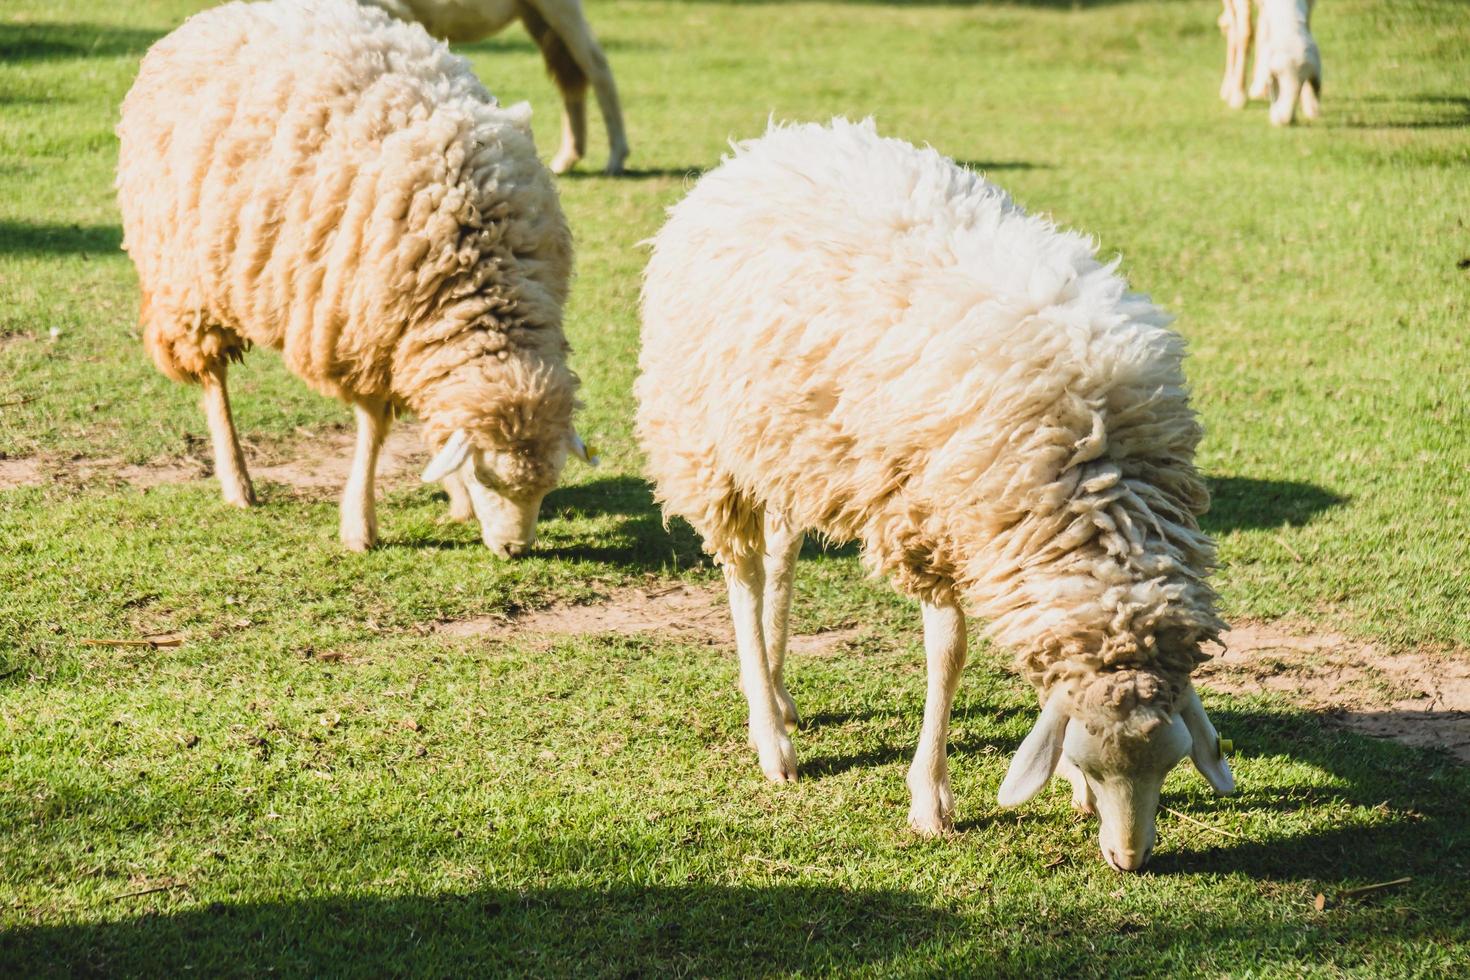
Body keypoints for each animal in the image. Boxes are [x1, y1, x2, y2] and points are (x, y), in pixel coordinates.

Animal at [117, 0, 590, 555]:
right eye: (486, 475)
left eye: (549, 483)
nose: (516, 550)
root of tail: (215, 15)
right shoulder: (363, 330)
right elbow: (373, 430)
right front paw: (361, 526)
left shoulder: (410, 335)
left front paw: (454, 499)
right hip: (187, 281)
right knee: (214, 381)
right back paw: (237, 482)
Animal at [366, 0, 626, 174]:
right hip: (534, 14)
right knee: (570, 75)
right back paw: (568, 158)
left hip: (559, 7)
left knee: (597, 67)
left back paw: (615, 158)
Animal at [637, 120, 1234, 875]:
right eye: (1095, 760)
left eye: (1171, 763)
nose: (1131, 860)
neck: (1097, 471)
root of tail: (768, 145)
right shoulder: (927, 516)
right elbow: (947, 653)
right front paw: (930, 799)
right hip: (708, 445)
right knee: (743, 575)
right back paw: (772, 737)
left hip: (790, 443)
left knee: (782, 554)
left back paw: (778, 685)